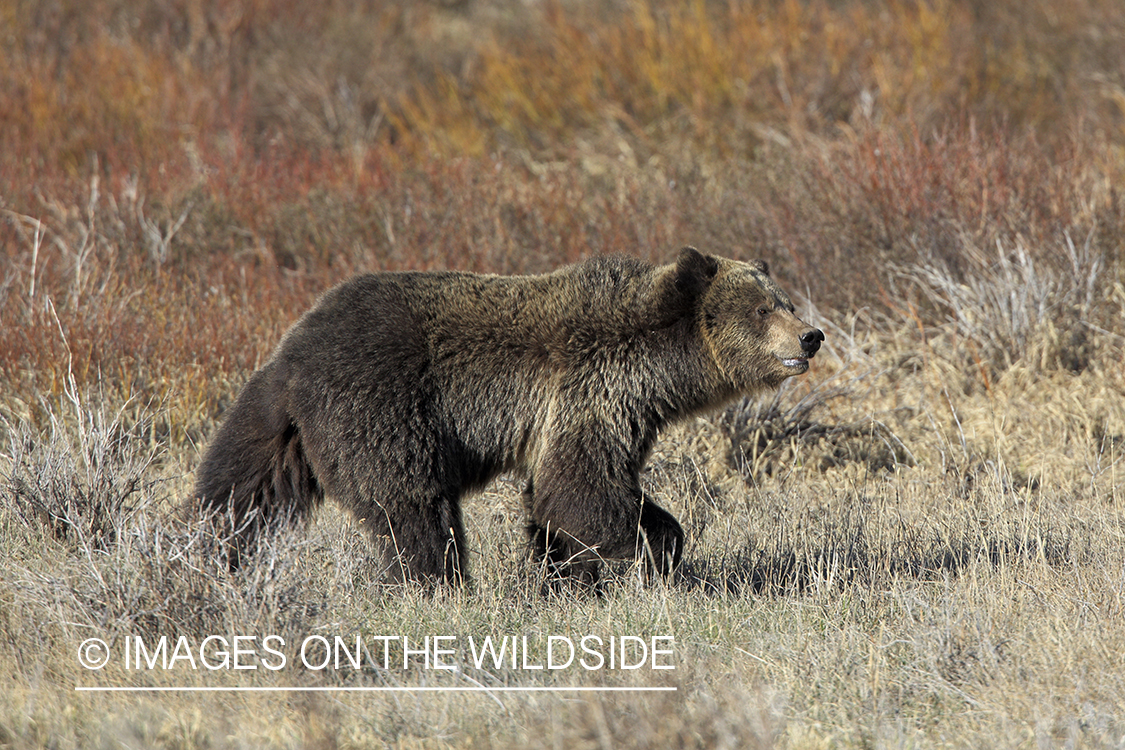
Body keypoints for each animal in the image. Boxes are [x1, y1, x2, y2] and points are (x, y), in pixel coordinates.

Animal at [198, 249, 823, 589]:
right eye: (764, 308)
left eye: (786, 300)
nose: (811, 336)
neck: (657, 362)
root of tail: (294, 353)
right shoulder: (590, 388)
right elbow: (581, 490)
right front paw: (645, 549)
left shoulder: (625, 411)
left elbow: (565, 497)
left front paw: (573, 575)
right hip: (383, 407)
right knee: (415, 509)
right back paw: (442, 586)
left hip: (279, 431)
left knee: (237, 490)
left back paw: (207, 553)